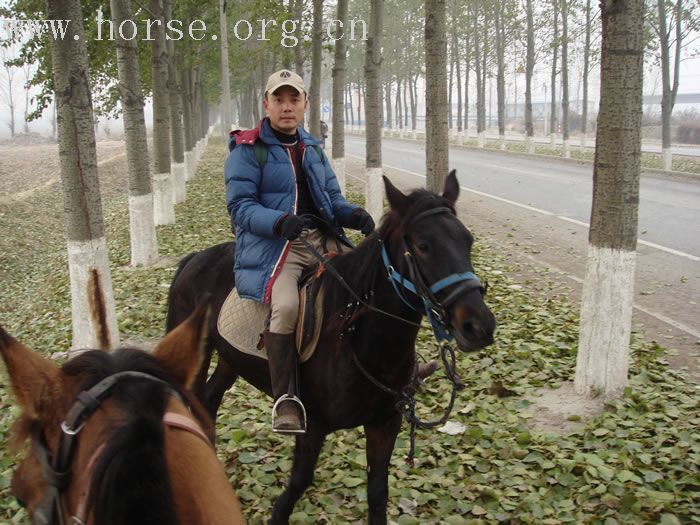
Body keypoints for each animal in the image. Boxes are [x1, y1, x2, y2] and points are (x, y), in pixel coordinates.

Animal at [165, 171, 494, 520]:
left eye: (468, 241)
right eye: (423, 246)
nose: (480, 326)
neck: (358, 343)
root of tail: (194, 259)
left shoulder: (384, 425)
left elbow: (378, 493)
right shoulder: (312, 427)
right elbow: (296, 485)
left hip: (232, 360)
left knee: (210, 400)